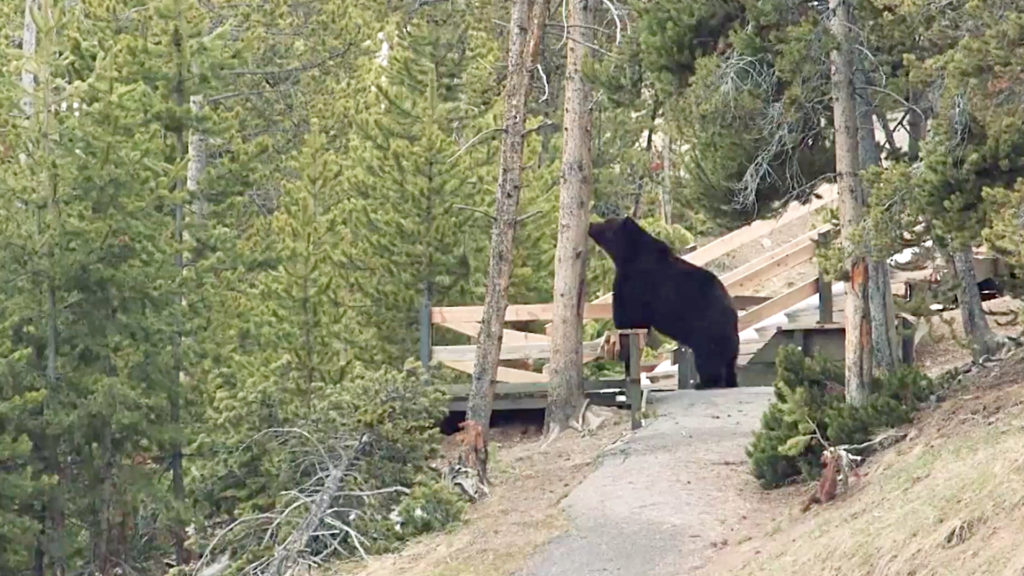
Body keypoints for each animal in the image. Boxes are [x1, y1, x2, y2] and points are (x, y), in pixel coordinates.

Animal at [588, 216, 739, 388]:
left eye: (607, 223)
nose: (591, 224)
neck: (629, 255)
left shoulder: (636, 282)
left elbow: (630, 316)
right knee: (728, 365)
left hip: (707, 328)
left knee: (708, 358)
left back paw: (704, 383)